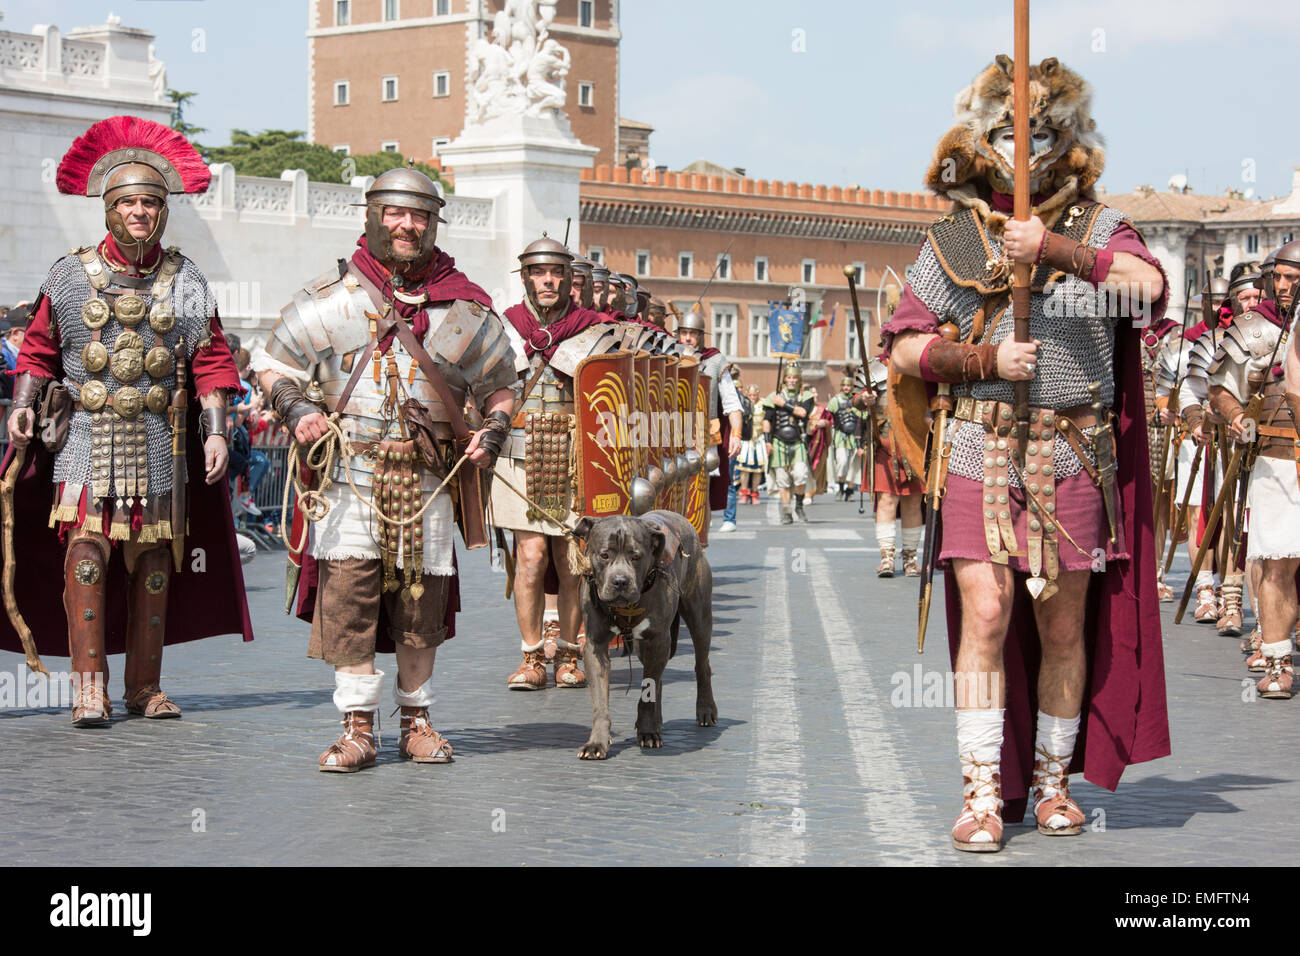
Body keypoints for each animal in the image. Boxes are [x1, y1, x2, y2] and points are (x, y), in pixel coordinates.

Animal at [574, 512, 717, 759]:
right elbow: (601, 699)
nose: (620, 581)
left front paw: (648, 731)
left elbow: (648, 688)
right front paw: (597, 743)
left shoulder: (659, 639)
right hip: (644, 647)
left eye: (636, 556)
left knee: (701, 664)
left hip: (699, 614)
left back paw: (706, 709)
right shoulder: (595, 645)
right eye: (604, 554)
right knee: (658, 679)